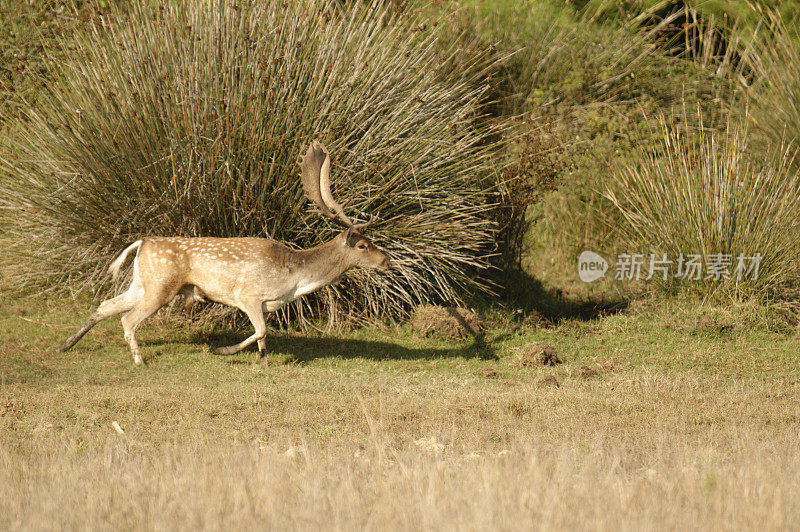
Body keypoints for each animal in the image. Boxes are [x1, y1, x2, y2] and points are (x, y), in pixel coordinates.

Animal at [57, 140, 390, 366]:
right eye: (363, 245)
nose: (386, 260)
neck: (294, 278)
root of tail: (142, 243)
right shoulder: (248, 294)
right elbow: (260, 330)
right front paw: (223, 351)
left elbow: (264, 334)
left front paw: (263, 362)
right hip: (162, 287)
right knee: (127, 319)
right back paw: (139, 360)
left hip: (143, 283)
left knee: (105, 305)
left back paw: (65, 345)